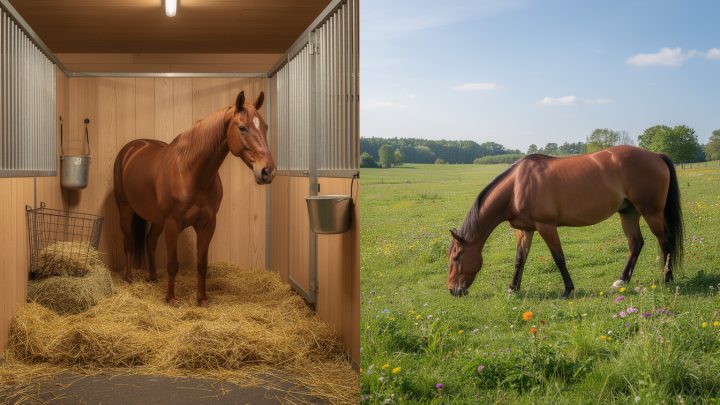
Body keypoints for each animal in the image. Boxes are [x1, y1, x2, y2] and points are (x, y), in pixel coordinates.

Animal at [113, 91, 275, 307]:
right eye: (242, 127)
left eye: (265, 127)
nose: (268, 171)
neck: (190, 173)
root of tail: (131, 149)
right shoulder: (172, 224)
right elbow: (173, 264)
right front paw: (171, 299)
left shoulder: (207, 225)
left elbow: (202, 264)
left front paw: (202, 299)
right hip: (125, 210)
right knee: (129, 242)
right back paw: (129, 278)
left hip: (157, 219)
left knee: (150, 241)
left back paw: (153, 277)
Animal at [447, 145, 683, 298]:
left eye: (456, 258)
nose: (453, 290)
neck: (517, 185)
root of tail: (655, 155)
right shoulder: (525, 230)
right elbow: (519, 259)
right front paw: (513, 288)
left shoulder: (546, 226)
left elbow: (558, 258)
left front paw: (568, 289)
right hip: (629, 212)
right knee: (636, 244)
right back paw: (622, 280)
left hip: (651, 212)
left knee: (665, 241)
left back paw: (667, 278)